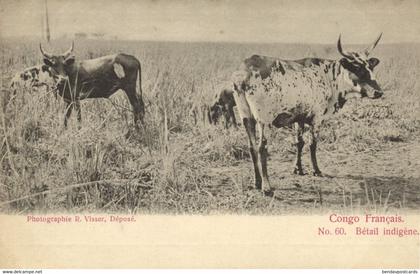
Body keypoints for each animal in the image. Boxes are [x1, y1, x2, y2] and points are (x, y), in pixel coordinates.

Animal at [233, 33, 384, 193]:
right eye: (358, 68)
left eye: (370, 68)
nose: (379, 92)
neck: (330, 77)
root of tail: (243, 74)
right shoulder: (317, 117)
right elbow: (313, 144)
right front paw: (316, 170)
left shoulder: (299, 117)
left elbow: (299, 143)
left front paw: (298, 169)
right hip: (264, 120)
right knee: (262, 148)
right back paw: (266, 186)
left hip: (246, 117)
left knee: (252, 147)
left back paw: (257, 182)